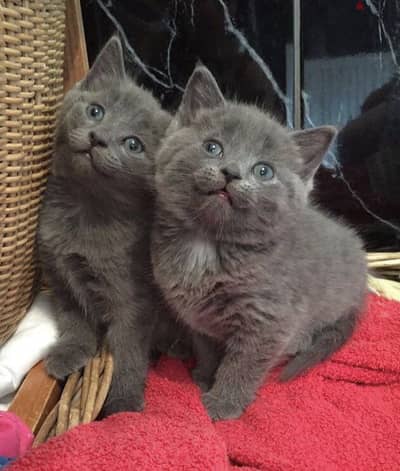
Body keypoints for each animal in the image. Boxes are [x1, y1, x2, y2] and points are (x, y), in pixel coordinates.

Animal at [38, 37, 172, 420]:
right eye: (96, 111)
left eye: (133, 144)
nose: (97, 138)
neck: (84, 212)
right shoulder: (59, 274)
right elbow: (74, 318)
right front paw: (70, 352)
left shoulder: (133, 298)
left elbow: (127, 350)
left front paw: (122, 405)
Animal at [152, 65, 368, 420]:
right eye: (213, 147)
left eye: (263, 171)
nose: (231, 172)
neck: (208, 245)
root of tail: (363, 291)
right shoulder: (196, 315)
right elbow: (207, 349)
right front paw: (203, 376)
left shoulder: (268, 321)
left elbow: (242, 365)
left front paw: (221, 404)